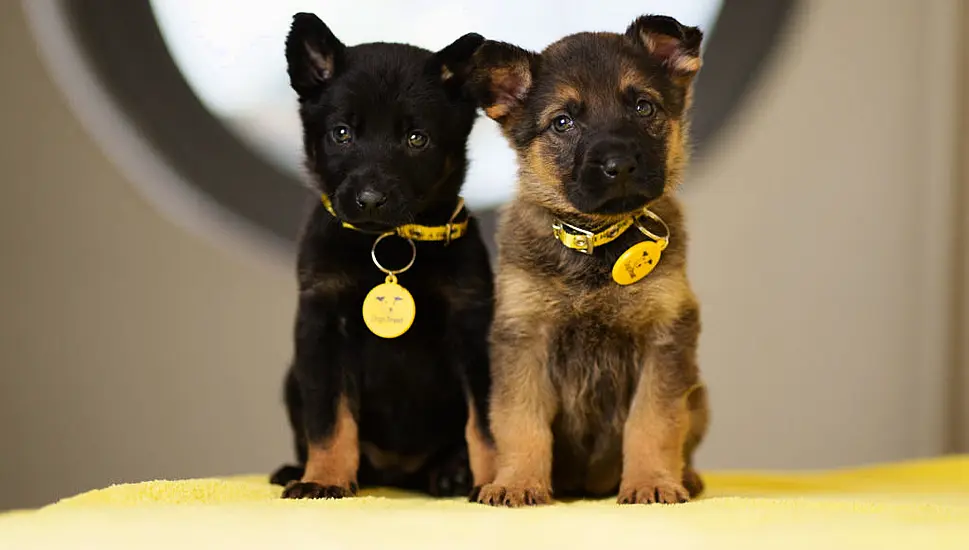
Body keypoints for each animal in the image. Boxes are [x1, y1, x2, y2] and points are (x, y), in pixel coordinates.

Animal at [272, 15, 500, 502]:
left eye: (416, 138)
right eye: (341, 133)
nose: (371, 200)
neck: (388, 243)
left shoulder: (473, 328)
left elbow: (487, 426)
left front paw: (497, 481)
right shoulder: (322, 328)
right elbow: (329, 421)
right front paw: (324, 479)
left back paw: (452, 473)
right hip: (291, 378)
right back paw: (294, 469)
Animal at [468, 16, 712, 508]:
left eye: (642, 106)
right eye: (562, 123)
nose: (619, 165)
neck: (598, 242)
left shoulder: (666, 337)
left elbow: (653, 422)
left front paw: (651, 481)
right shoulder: (523, 337)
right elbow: (520, 422)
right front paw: (518, 482)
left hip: (700, 396)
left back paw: (686, 476)